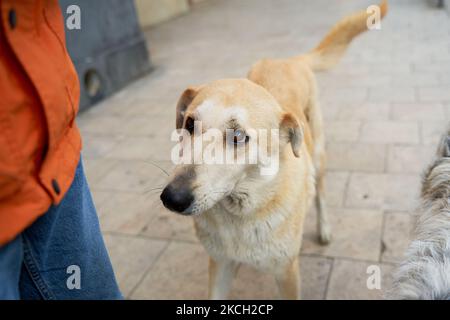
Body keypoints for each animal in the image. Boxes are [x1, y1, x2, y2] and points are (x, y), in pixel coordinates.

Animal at [161, 1, 386, 298]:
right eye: (189, 124)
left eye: (238, 136)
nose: (172, 198)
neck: (240, 213)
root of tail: (290, 60)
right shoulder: (220, 265)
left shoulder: (286, 271)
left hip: (319, 156)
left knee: (321, 194)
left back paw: (324, 228)